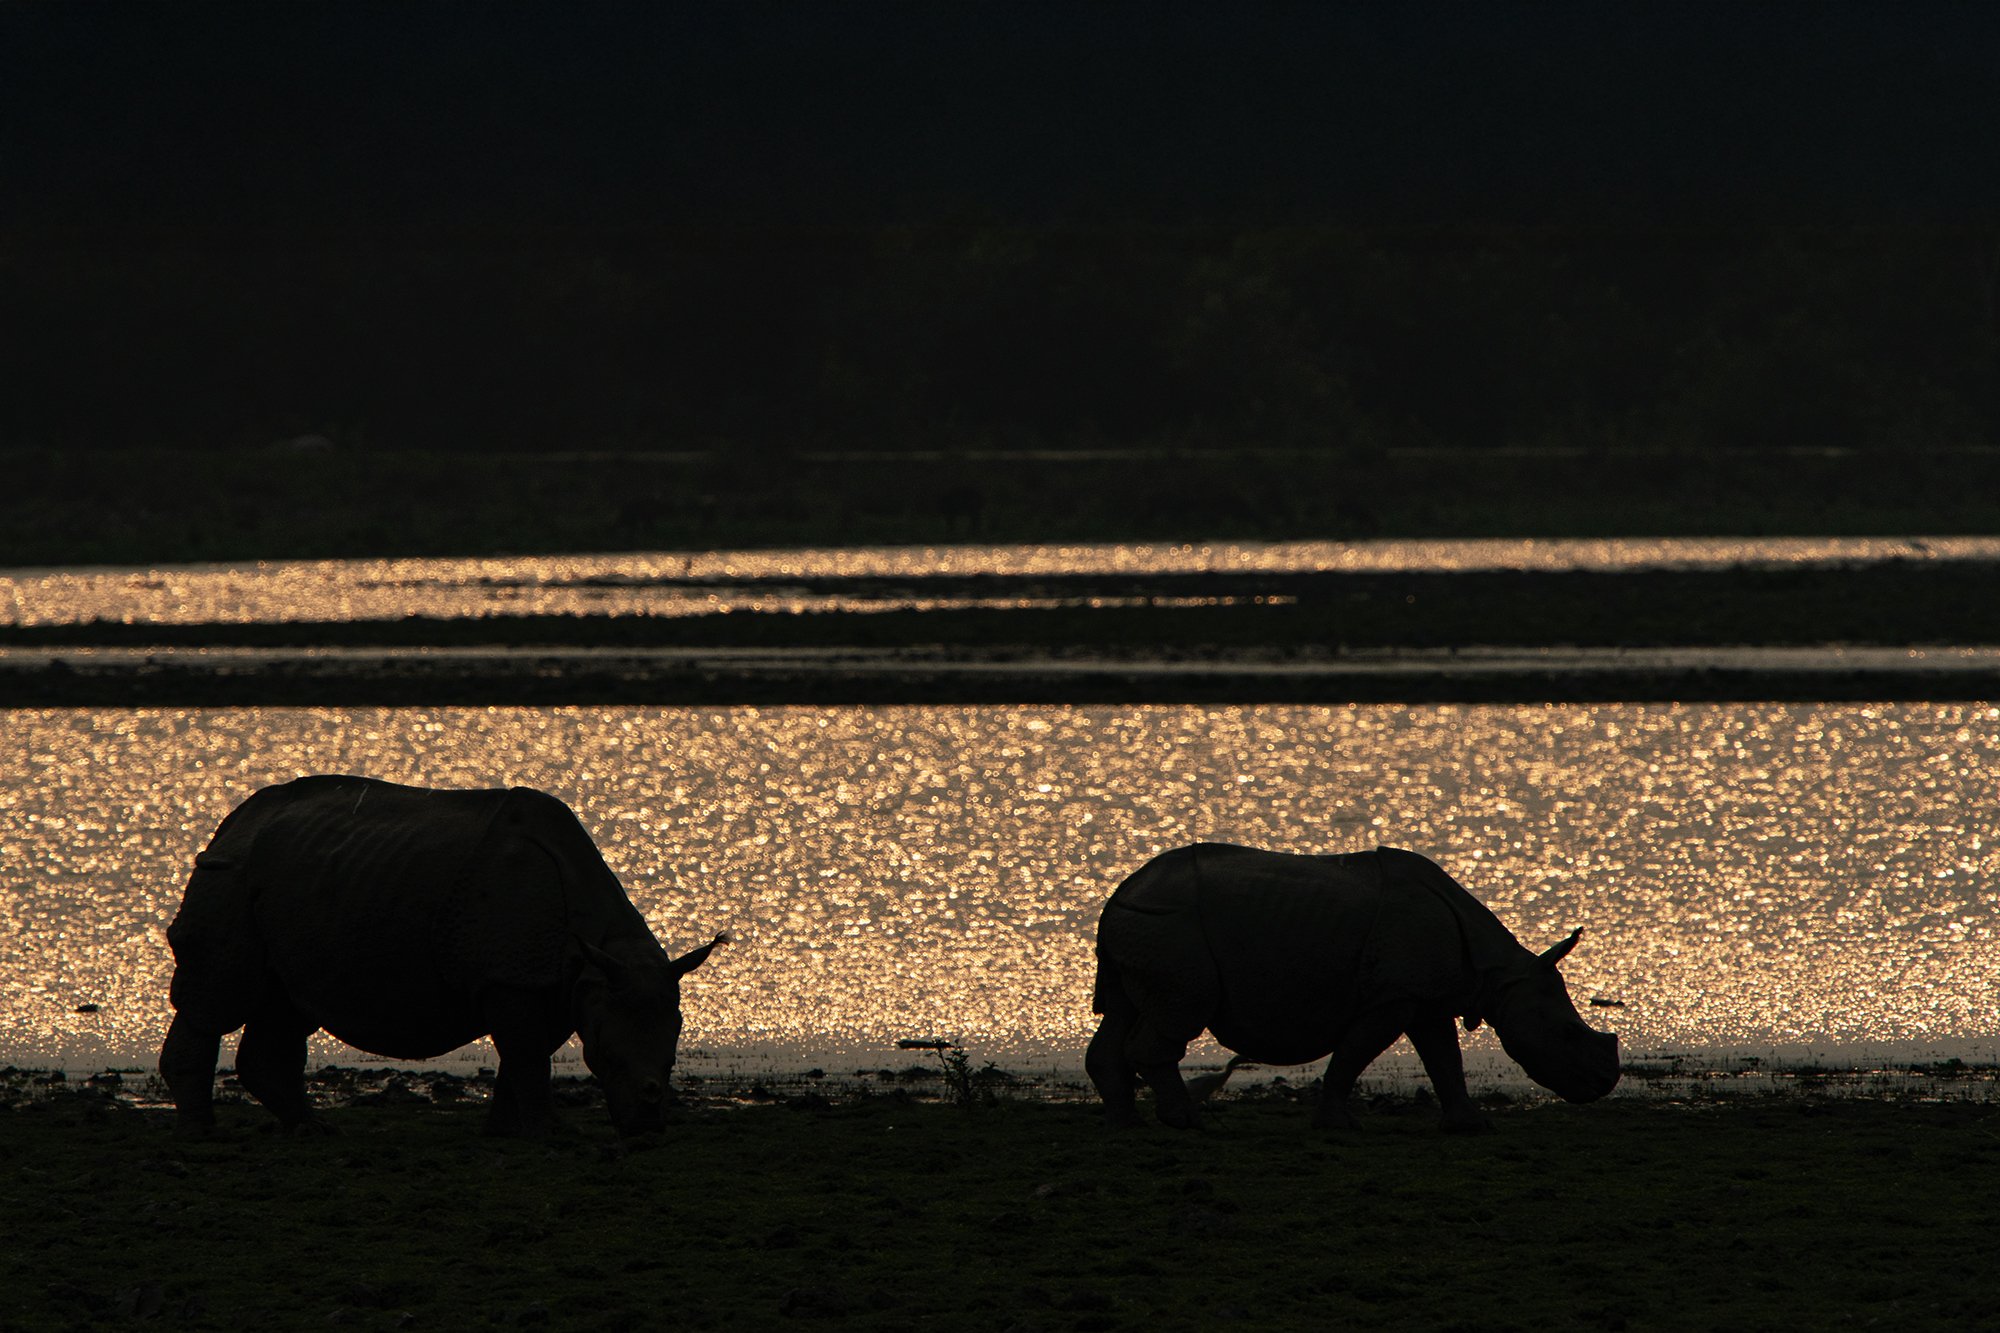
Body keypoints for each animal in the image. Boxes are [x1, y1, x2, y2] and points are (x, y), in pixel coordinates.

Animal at [159, 775, 726, 1138]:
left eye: (674, 1059)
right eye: (608, 1058)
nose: (647, 1130)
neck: (597, 950)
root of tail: (231, 822)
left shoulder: (554, 983)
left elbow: (524, 1055)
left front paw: (503, 1133)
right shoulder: (512, 978)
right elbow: (527, 1054)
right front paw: (551, 1134)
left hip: (298, 882)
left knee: (287, 1002)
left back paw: (313, 1130)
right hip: (230, 876)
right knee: (221, 998)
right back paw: (201, 1134)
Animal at [1086, 843, 1619, 1132]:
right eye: (1568, 1035)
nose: (1604, 1084)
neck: (1500, 974)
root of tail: (1119, 893)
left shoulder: (1424, 997)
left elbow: (1445, 1059)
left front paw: (1471, 1126)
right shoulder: (1393, 998)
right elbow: (1354, 1055)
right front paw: (1339, 1125)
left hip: (1147, 923)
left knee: (1123, 1010)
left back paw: (1126, 1123)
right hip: (1171, 925)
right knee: (1179, 1013)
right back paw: (1188, 1122)